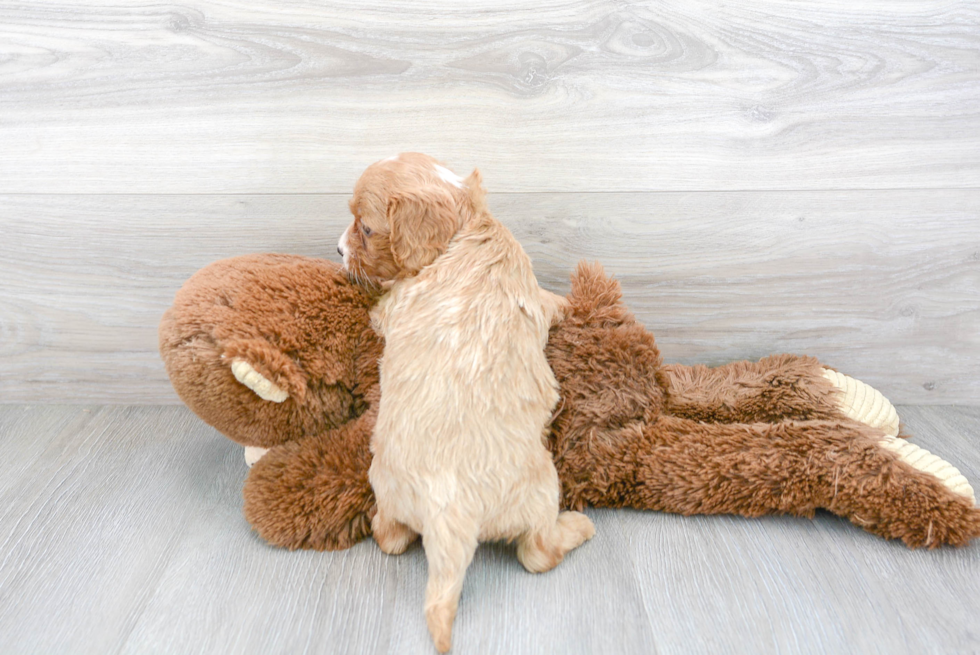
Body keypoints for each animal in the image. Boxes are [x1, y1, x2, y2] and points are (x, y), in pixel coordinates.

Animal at [340, 154, 592, 652]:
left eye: (366, 229)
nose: (338, 249)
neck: (466, 226)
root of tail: (449, 513)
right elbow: (546, 302)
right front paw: (566, 302)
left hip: (388, 486)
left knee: (390, 536)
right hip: (542, 490)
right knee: (538, 553)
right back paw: (579, 528)